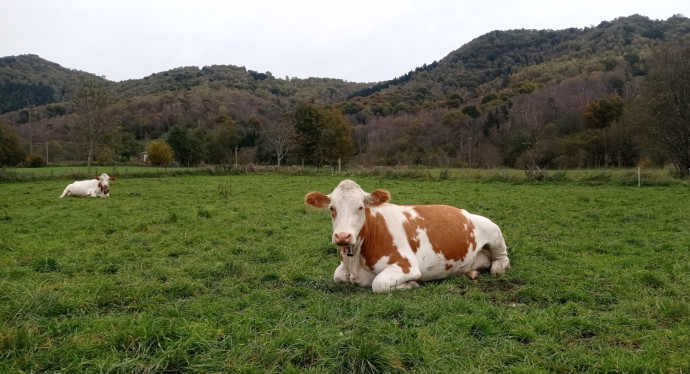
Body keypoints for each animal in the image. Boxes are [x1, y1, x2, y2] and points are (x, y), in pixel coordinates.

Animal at [304, 180, 508, 294]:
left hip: (494, 232)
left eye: (361, 207)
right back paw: (470, 272)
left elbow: (378, 284)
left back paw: (496, 267)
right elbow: (337, 276)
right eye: (332, 208)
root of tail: (465, 212)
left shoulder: (406, 265)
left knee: (502, 259)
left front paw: (412, 285)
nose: (342, 236)